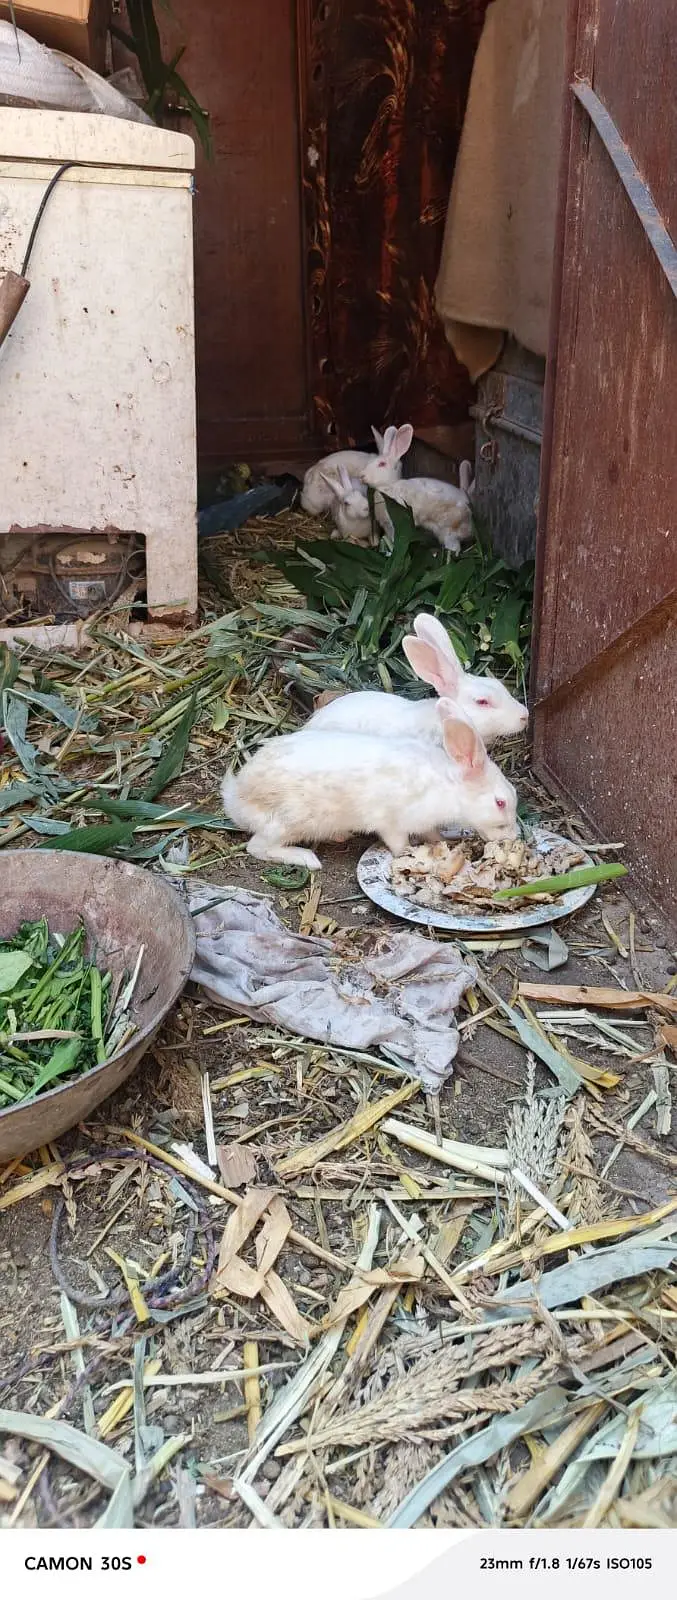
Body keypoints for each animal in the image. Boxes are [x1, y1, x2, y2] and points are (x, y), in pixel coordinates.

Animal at [221, 700, 518, 870]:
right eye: (500, 802)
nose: (513, 837)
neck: (447, 786)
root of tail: (238, 798)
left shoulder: (425, 823)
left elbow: (432, 834)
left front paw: (441, 842)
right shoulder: (392, 823)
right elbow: (398, 843)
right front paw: (409, 854)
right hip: (288, 822)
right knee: (258, 847)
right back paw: (307, 859)